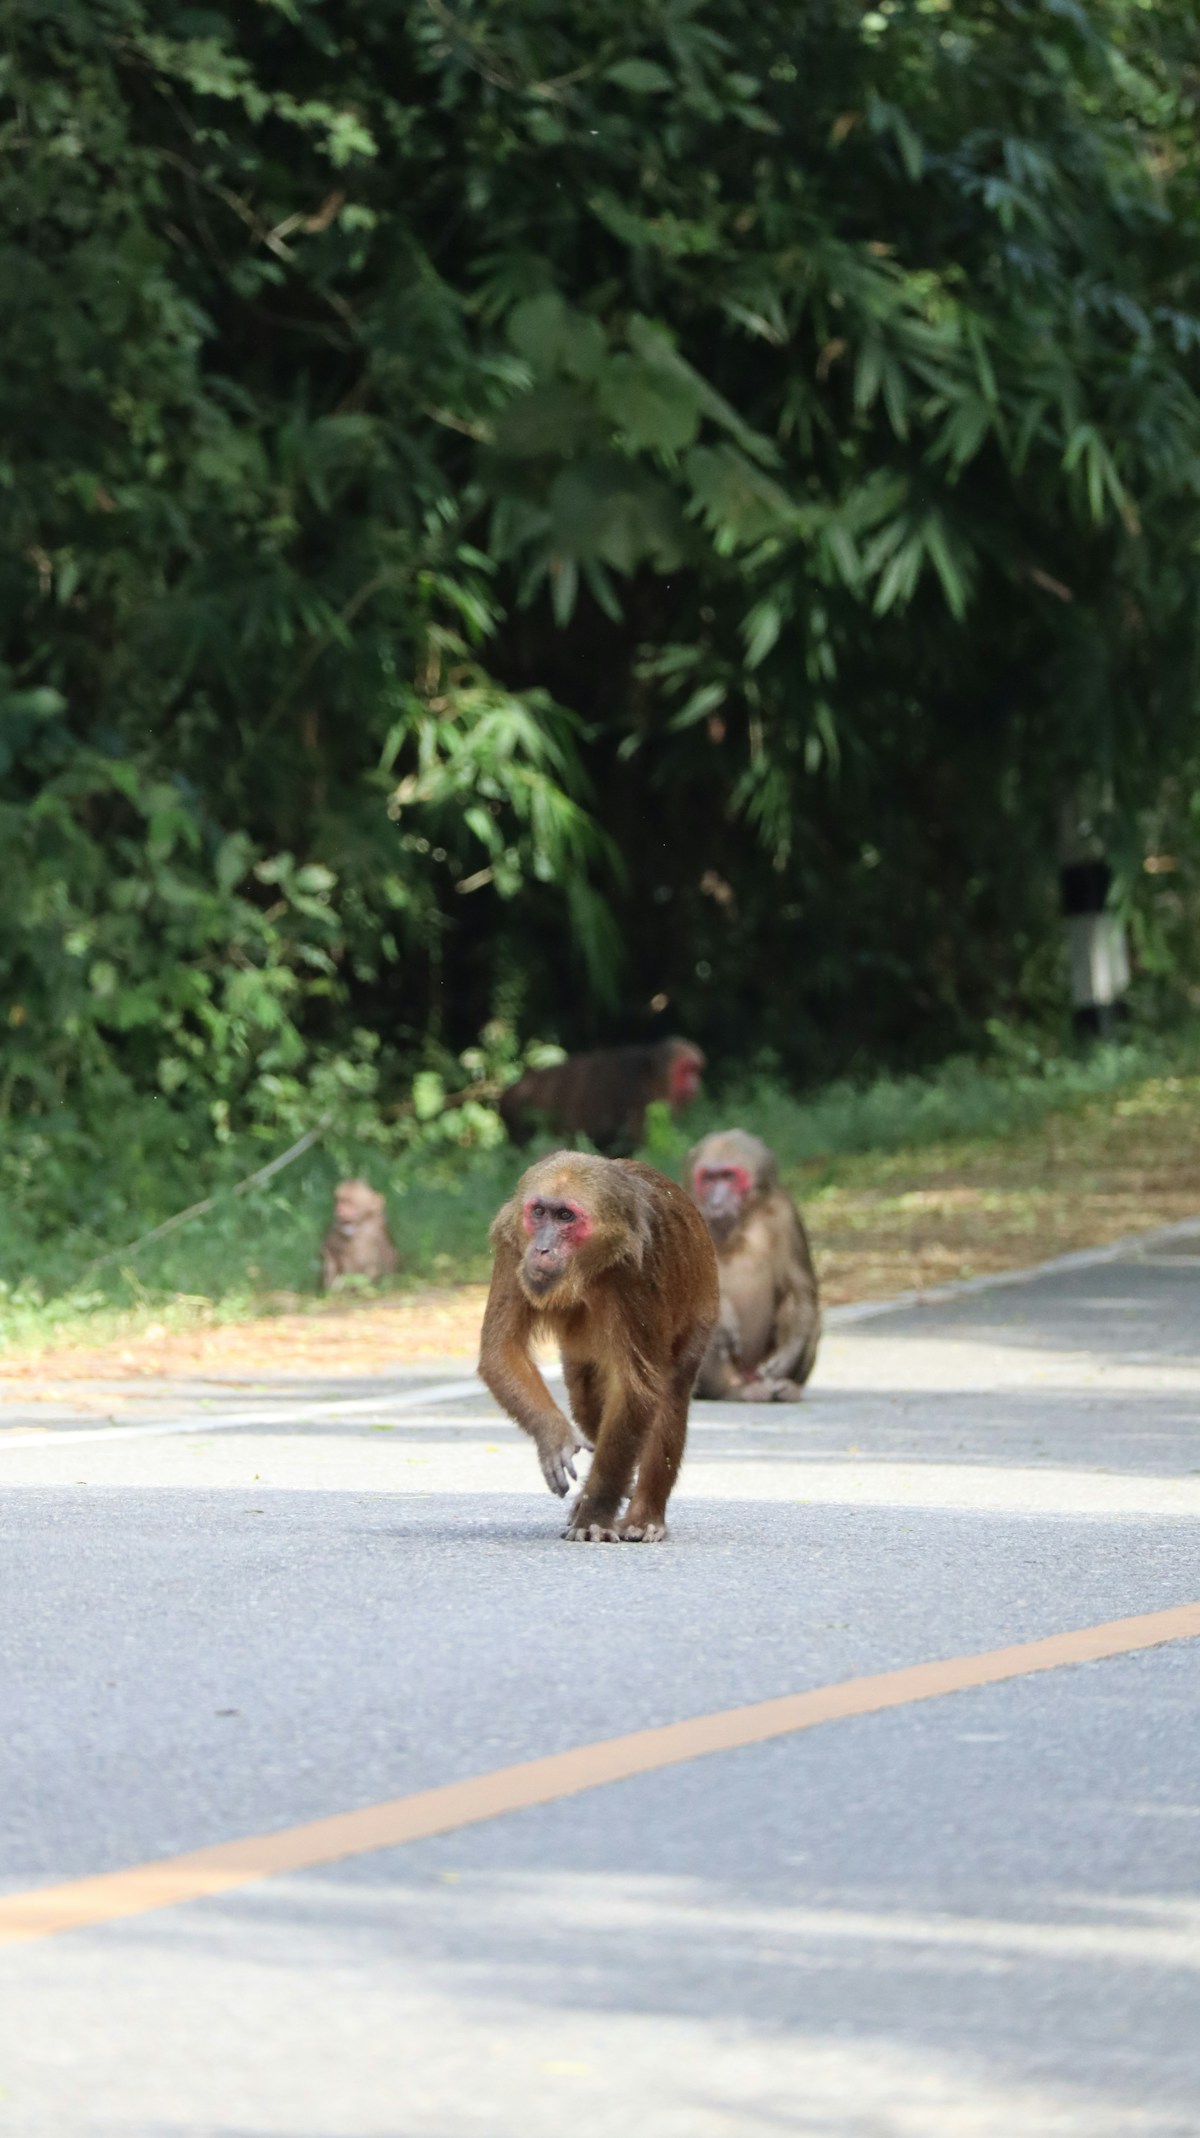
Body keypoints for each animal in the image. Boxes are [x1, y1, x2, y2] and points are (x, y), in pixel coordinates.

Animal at [478, 1150, 719, 1541]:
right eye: (539, 1212)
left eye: (565, 1217)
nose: (542, 1247)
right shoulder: (513, 1245)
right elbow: (502, 1351)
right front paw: (553, 1436)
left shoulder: (637, 1271)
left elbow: (637, 1391)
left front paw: (596, 1512)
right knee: (587, 1394)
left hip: (703, 1305)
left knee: (670, 1390)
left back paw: (645, 1513)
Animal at [689, 1129, 821, 1401]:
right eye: (708, 1178)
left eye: (728, 1177)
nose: (716, 1201)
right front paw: (725, 1312)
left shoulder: (785, 1213)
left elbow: (801, 1290)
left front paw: (790, 1353)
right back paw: (733, 1391)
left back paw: (787, 1387)